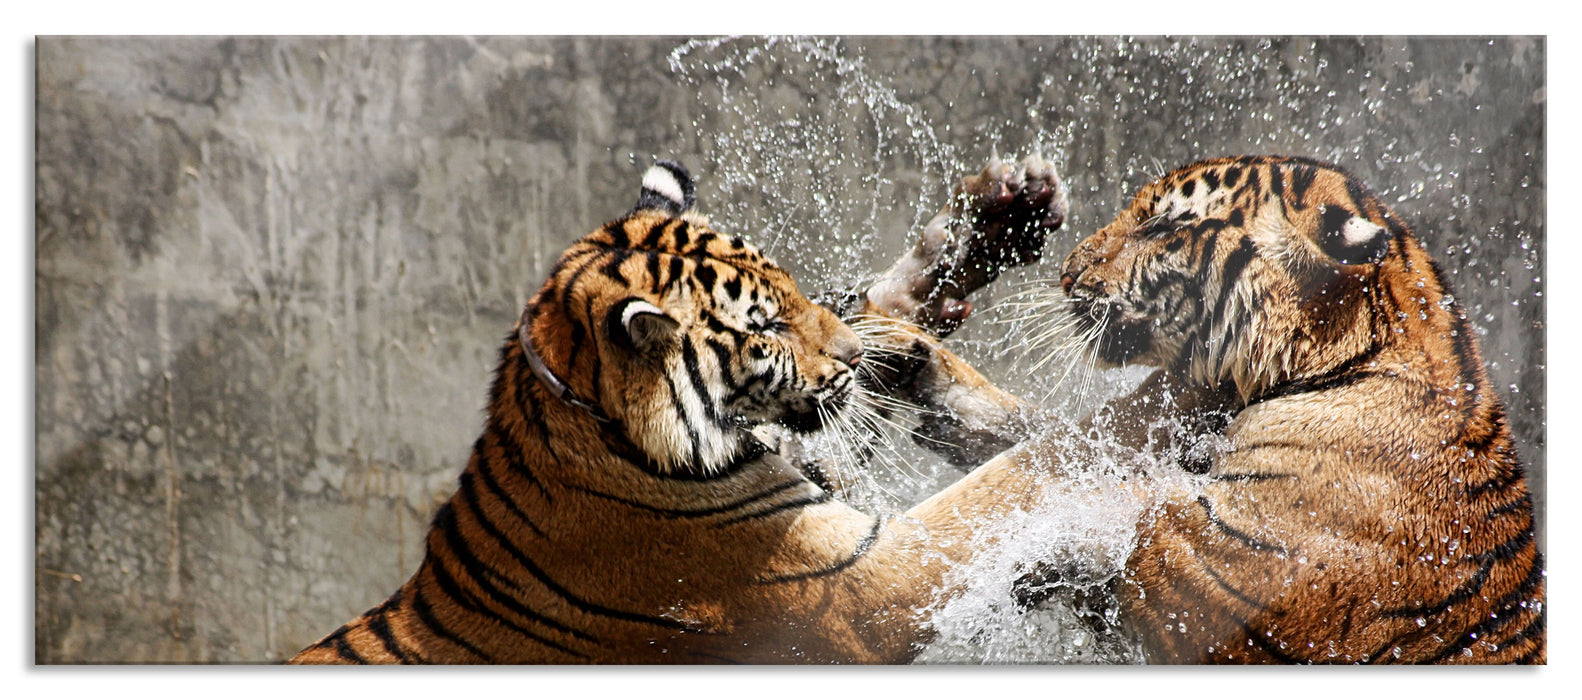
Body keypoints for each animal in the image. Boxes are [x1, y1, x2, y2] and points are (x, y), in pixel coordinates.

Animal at [289, 155, 1068, 664]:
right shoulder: (856, 582)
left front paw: (995, 219)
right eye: (766, 327)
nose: (849, 356)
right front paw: (1089, 441)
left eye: (792, 287)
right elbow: (998, 492)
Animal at [877, 155, 1546, 664]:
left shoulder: (1223, 571)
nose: (1065, 273)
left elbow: (1106, 493)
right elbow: (1074, 440)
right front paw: (920, 366)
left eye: (1161, 225)